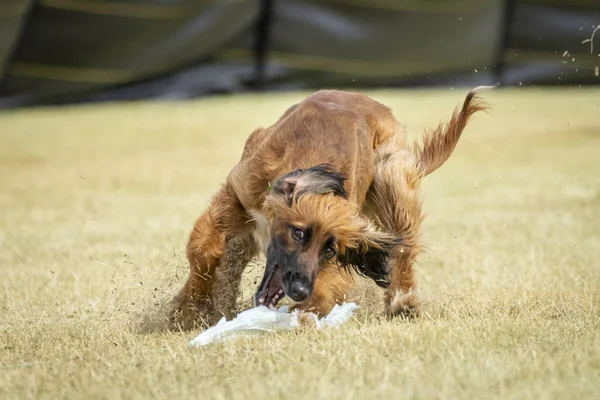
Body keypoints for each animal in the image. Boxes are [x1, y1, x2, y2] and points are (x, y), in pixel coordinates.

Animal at [168, 86, 488, 328]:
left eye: (330, 250)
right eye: (298, 233)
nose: (299, 291)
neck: (317, 162)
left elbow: (327, 286)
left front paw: (306, 313)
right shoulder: (239, 195)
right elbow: (205, 250)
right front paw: (190, 307)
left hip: (391, 175)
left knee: (404, 244)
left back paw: (402, 301)